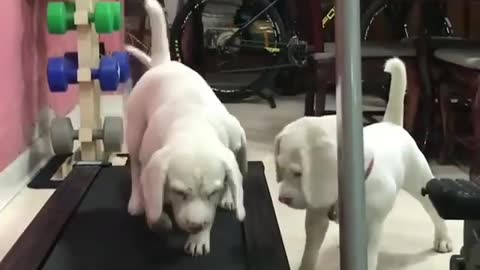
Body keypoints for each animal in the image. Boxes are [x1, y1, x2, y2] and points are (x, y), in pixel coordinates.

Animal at [124, 0, 248, 256]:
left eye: (212, 193)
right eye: (180, 193)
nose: (196, 225)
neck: (194, 128)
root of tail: (164, 63)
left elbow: (229, 181)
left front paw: (200, 236)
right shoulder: (152, 168)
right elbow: (153, 205)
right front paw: (159, 220)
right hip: (134, 133)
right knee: (135, 170)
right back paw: (136, 201)